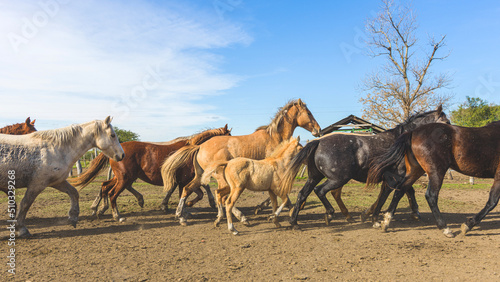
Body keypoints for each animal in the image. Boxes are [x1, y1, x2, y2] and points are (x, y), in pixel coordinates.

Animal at [71, 125, 231, 220]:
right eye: (229, 137)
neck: (192, 149)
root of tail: (117, 151)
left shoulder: (183, 180)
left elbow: (193, 192)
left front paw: (182, 208)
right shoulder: (184, 179)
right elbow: (191, 192)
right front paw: (183, 210)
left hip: (122, 177)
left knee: (105, 186)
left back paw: (98, 209)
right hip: (125, 178)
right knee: (112, 193)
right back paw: (116, 215)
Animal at [162, 99, 322, 225]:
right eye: (308, 113)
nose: (318, 130)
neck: (274, 137)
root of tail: (200, 147)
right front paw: (269, 210)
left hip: (201, 176)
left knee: (187, 189)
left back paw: (181, 216)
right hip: (221, 179)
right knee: (223, 197)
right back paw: (238, 217)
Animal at [284, 106, 452, 229]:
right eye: (447, 123)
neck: (402, 142)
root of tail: (318, 141)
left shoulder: (392, 178)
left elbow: (394, 194)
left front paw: (373, 217)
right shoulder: (397, 177)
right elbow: (395, 194)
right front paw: (377, 219)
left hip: (315, 176)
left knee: (302, 194)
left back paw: (294, 222)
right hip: (338, 179)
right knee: (320, 191)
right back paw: (329, 215)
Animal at [366, 121, 500, 238]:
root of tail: (413, 132)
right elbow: (492, 202)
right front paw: (467, 225)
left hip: (416, 170)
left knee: (401, 189)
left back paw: (386, 221)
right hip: (437, 171)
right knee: (431, 195)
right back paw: (445, 228)